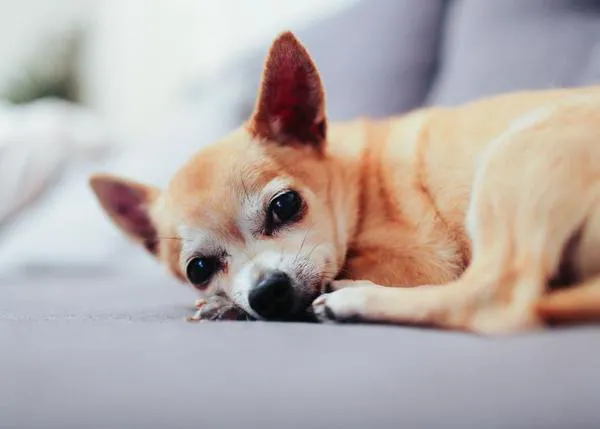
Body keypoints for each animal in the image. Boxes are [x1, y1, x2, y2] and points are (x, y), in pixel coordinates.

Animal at [89, 31, 600, 334]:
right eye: (198, 270)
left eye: (285, 206)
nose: (266, 291)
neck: (356, 179)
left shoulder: (420, 264)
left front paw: (224, 306)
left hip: (516, 154)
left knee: (493, 298)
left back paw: (353, 298)